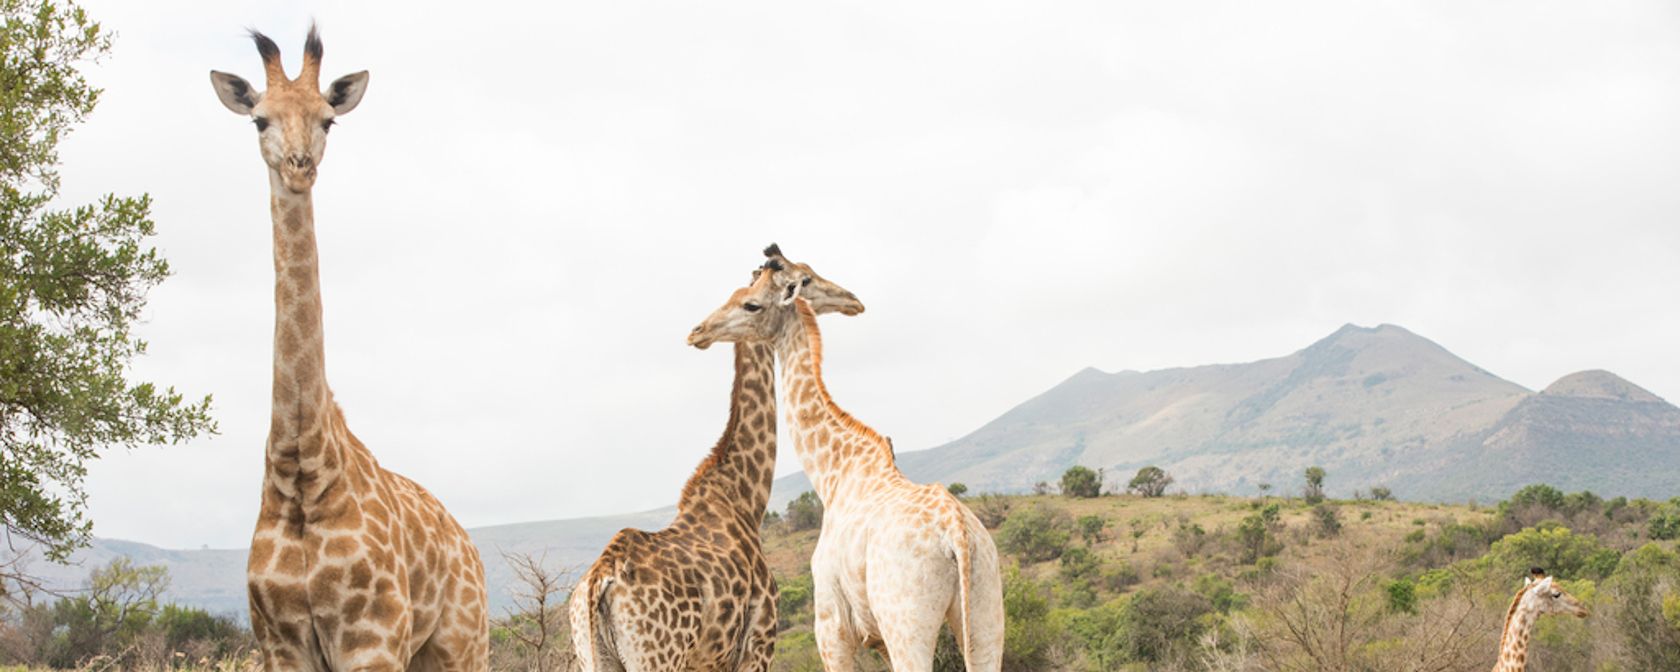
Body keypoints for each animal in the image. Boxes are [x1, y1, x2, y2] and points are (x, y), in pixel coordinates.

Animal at [208, 26, 487, 672]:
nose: (299, 167)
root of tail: (464, 539)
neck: (302, 468)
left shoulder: (372, 637)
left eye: (328, 119)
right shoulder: (281, 644)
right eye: (259, 119)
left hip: (462, 642)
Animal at [571, 253, 866, 672]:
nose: (852, 299)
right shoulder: (759, 642)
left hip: (594, 655)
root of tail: (599, 582)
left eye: (742, 299)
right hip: (657, 657)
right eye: (806, 279)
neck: (744, 496)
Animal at [682, 258, 994, 672]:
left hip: (907, 621)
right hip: (985, 610)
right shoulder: (876, 637)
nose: (697, 332)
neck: (832, 472)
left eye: (751, 304)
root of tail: (957, 533)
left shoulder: (832, 627)